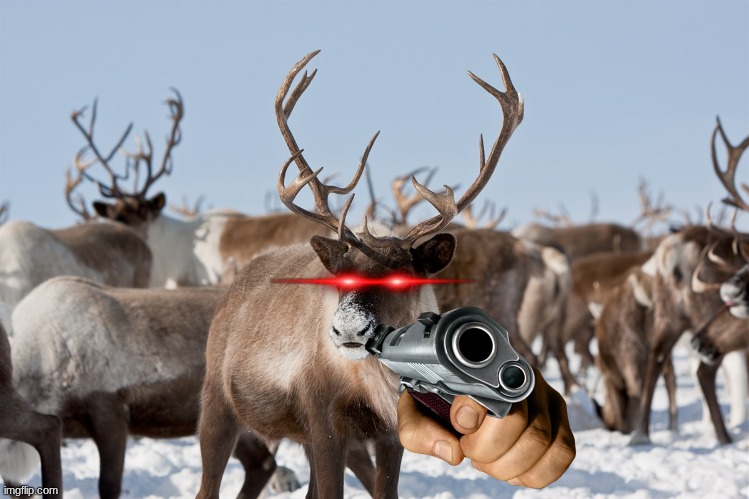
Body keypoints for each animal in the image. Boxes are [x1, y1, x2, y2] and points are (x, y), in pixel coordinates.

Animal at [195, 49, 524, 498]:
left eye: (403, 276)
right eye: (340, 276)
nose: (349, 329)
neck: (376, 382)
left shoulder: (390, 432)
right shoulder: (324, 422)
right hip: (216, 404)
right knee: (208, 483)